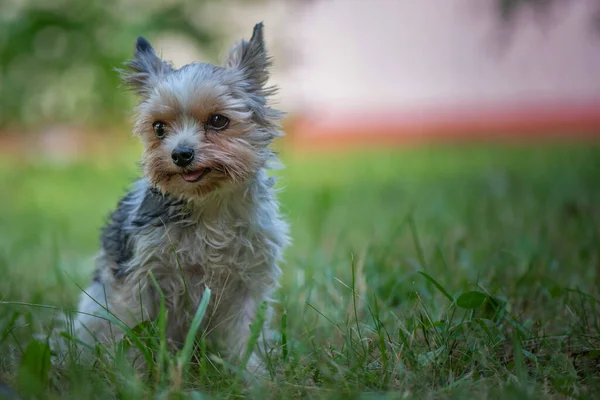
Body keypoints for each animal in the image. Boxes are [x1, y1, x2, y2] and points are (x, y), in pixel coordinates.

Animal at [72, 21, 288, 372]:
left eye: (218, 120)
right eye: (159, 128)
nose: (181, 154)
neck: (209, 205)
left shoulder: (246, 284)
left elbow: (243, 336)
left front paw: (251, 374)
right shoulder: (141, 281)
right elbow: (134, 331)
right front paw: (135, 373)